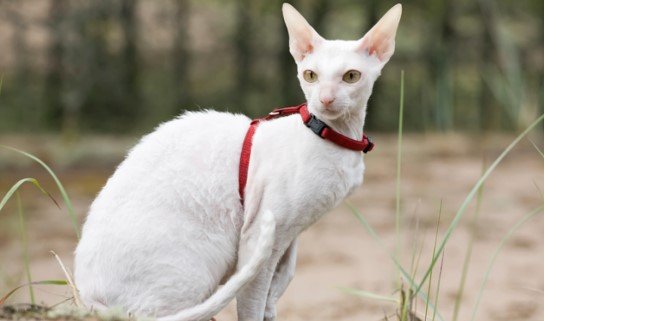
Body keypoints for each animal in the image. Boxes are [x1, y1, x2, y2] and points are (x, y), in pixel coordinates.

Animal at [73, 3, 402, 320]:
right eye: (311, 75)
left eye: (351, 76)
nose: (325, 99)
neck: (334, 136)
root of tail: (88, 298)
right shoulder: (260, 235)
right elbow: (252, 302)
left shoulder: (290, 236)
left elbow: (280, 283)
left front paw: (273, 305)